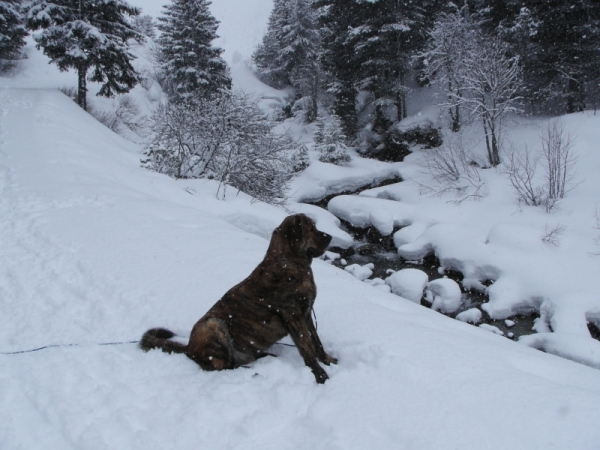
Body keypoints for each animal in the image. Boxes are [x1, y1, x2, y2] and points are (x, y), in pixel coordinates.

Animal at [140, 214, 338, 384]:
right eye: (311, 228)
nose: (330, 237)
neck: (288, 261)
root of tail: (188, 348)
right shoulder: (294, 317)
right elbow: (307, 348)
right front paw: (320, 375)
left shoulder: (306, 314)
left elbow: (316, 341)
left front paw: (328, 360)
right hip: (213, 325)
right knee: (221, 366)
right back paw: (252, 371)